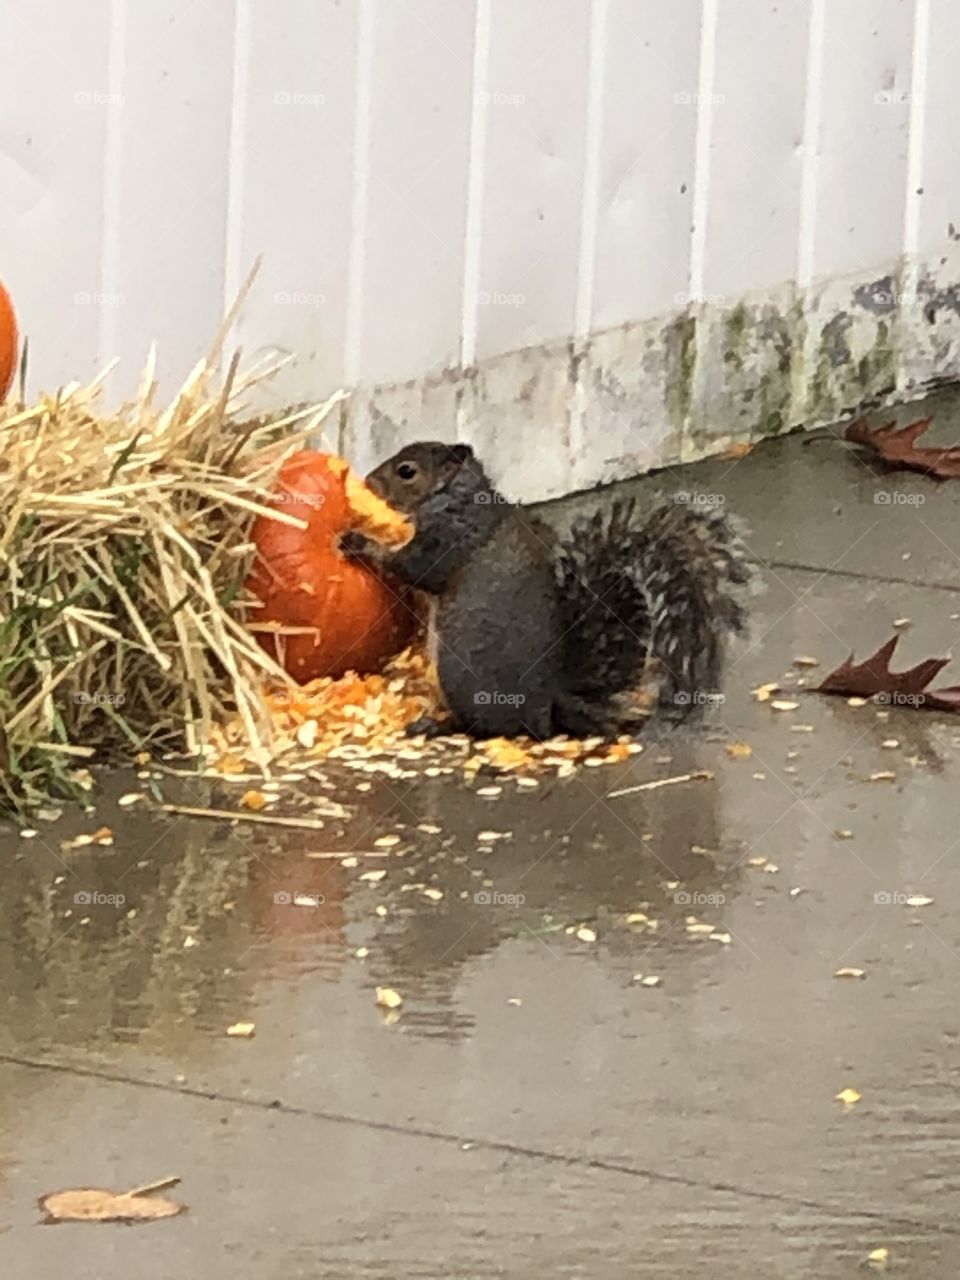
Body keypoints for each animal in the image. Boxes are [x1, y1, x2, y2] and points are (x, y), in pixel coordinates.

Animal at [340, 441, 749, 740]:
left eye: (407, 471)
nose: (368, 482)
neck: (458, 496)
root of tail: (548, 706)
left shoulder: (449, 538)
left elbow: (415, 568)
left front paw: (361, 543)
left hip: (459, 677)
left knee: (481, 728)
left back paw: (436, 724)